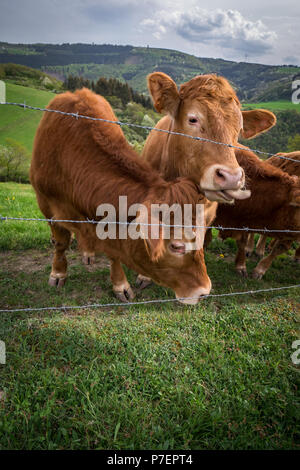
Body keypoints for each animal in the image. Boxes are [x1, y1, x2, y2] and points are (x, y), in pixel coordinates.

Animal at [30, 88, 214, 304]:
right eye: (176, 246)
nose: (204, 291)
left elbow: (114, 253)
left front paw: (120, 285)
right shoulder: (46, 204)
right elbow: (61, 242)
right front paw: (58, 273)